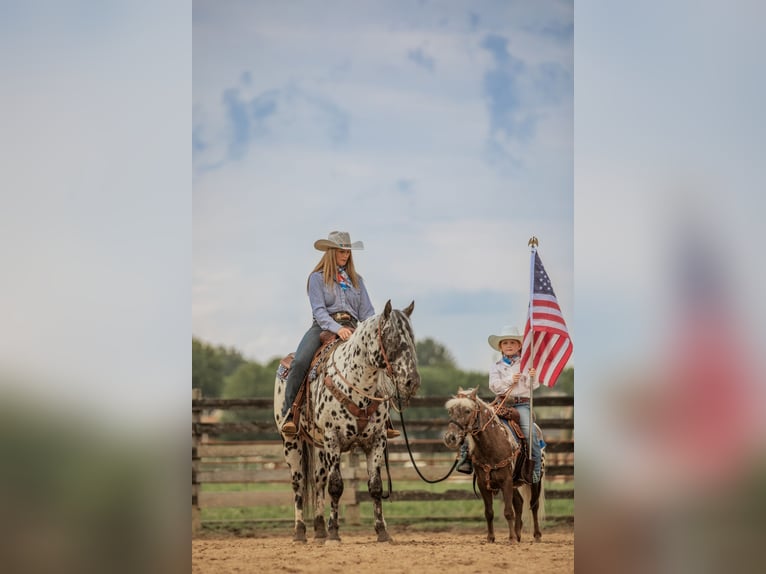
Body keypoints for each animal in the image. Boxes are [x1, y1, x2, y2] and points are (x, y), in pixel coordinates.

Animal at [273, 300, 420, 543]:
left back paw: (320, 530)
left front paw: (382, 532)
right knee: (298, 482)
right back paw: (300, 532)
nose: (412, 382)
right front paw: (334, 532)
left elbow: (375, 486)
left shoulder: (377, 441)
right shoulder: (333, 439)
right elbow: (336, 486)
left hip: (319, 446)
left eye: (412, 338)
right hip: (291, 441)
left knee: (318, 480)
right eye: (391, 338)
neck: (359, 386)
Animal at [443, 387, 546, 544]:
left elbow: (508, 512)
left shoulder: (506, 480)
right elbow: (489, 512)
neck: (491, 443)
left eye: (467, 410)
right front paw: (491, 538)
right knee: (519, 503)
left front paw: (511, 539)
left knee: (534, 505)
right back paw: (518, 534)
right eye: (451, 411)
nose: (450, 438)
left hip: (535, 480)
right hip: (515, 483)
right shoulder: (482, 483)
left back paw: (537, 535)